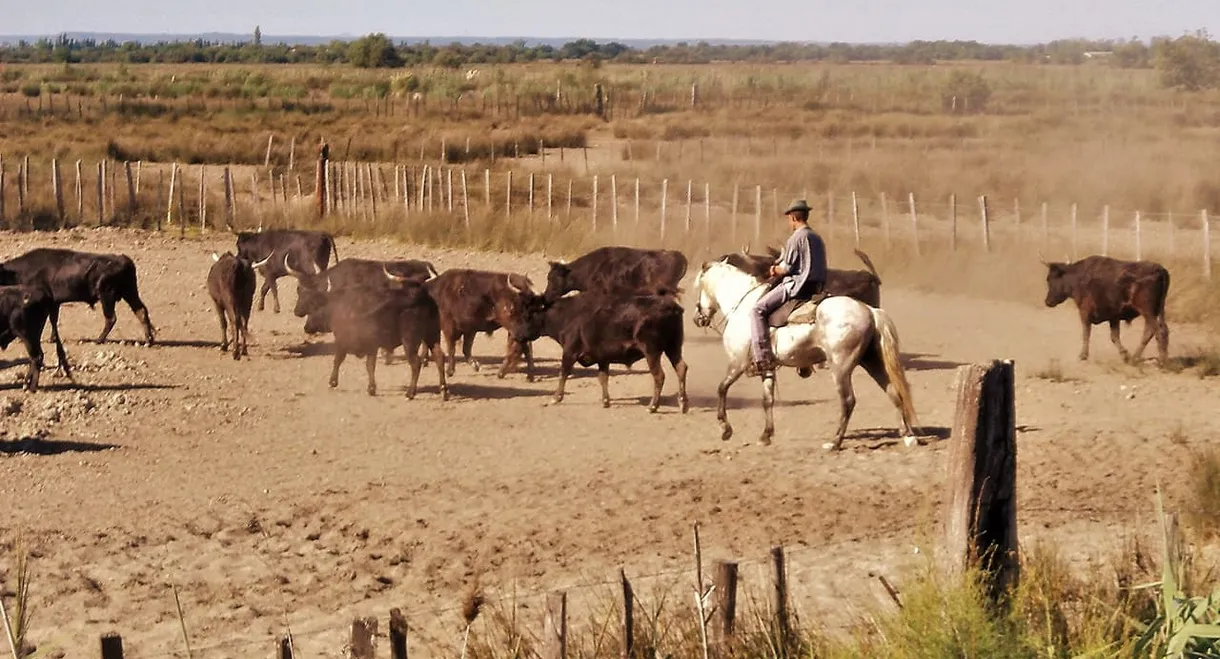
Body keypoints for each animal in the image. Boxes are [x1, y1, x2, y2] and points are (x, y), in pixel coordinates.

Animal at [1039, 253, 1171, 366]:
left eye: (1050, 279)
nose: (1047, 301)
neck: (1078, 276)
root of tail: (1160, 269)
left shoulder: (1084, 312)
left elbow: (1086, 333)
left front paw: (1083, 355)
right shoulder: (1114, 317)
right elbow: (1114, 337)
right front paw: (1124, 355)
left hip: (1148, 312)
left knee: (1157, 331)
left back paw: (1158, 361)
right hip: (1155, 311)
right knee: (1154, 331)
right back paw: (1138, 358)